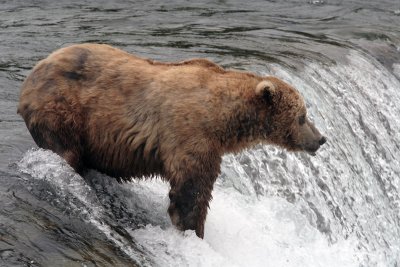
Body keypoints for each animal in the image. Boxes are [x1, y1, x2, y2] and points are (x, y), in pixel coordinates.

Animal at [17, 43, 326, 239]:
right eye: (302, 116)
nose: (321, 138)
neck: (223, 119)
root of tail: (32, 74)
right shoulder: (189, 133)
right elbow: (192, 190)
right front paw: (192, 231)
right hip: (63, 111)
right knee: (65, 149)